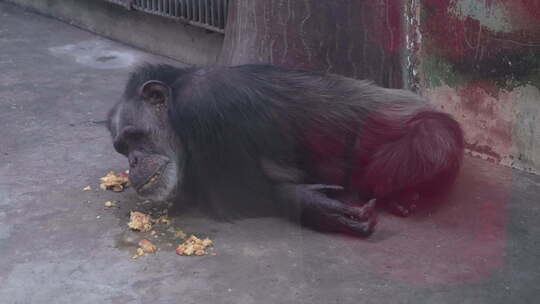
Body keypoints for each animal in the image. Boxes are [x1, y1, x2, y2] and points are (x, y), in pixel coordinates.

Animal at [106, 63, 464, 236]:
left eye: (135, 136)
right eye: (122, 147)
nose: (133, 160)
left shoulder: (204, 104)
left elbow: (239, 195)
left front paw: (313, 204)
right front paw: (318, 204)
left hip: (430, 126)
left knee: (427, 142)